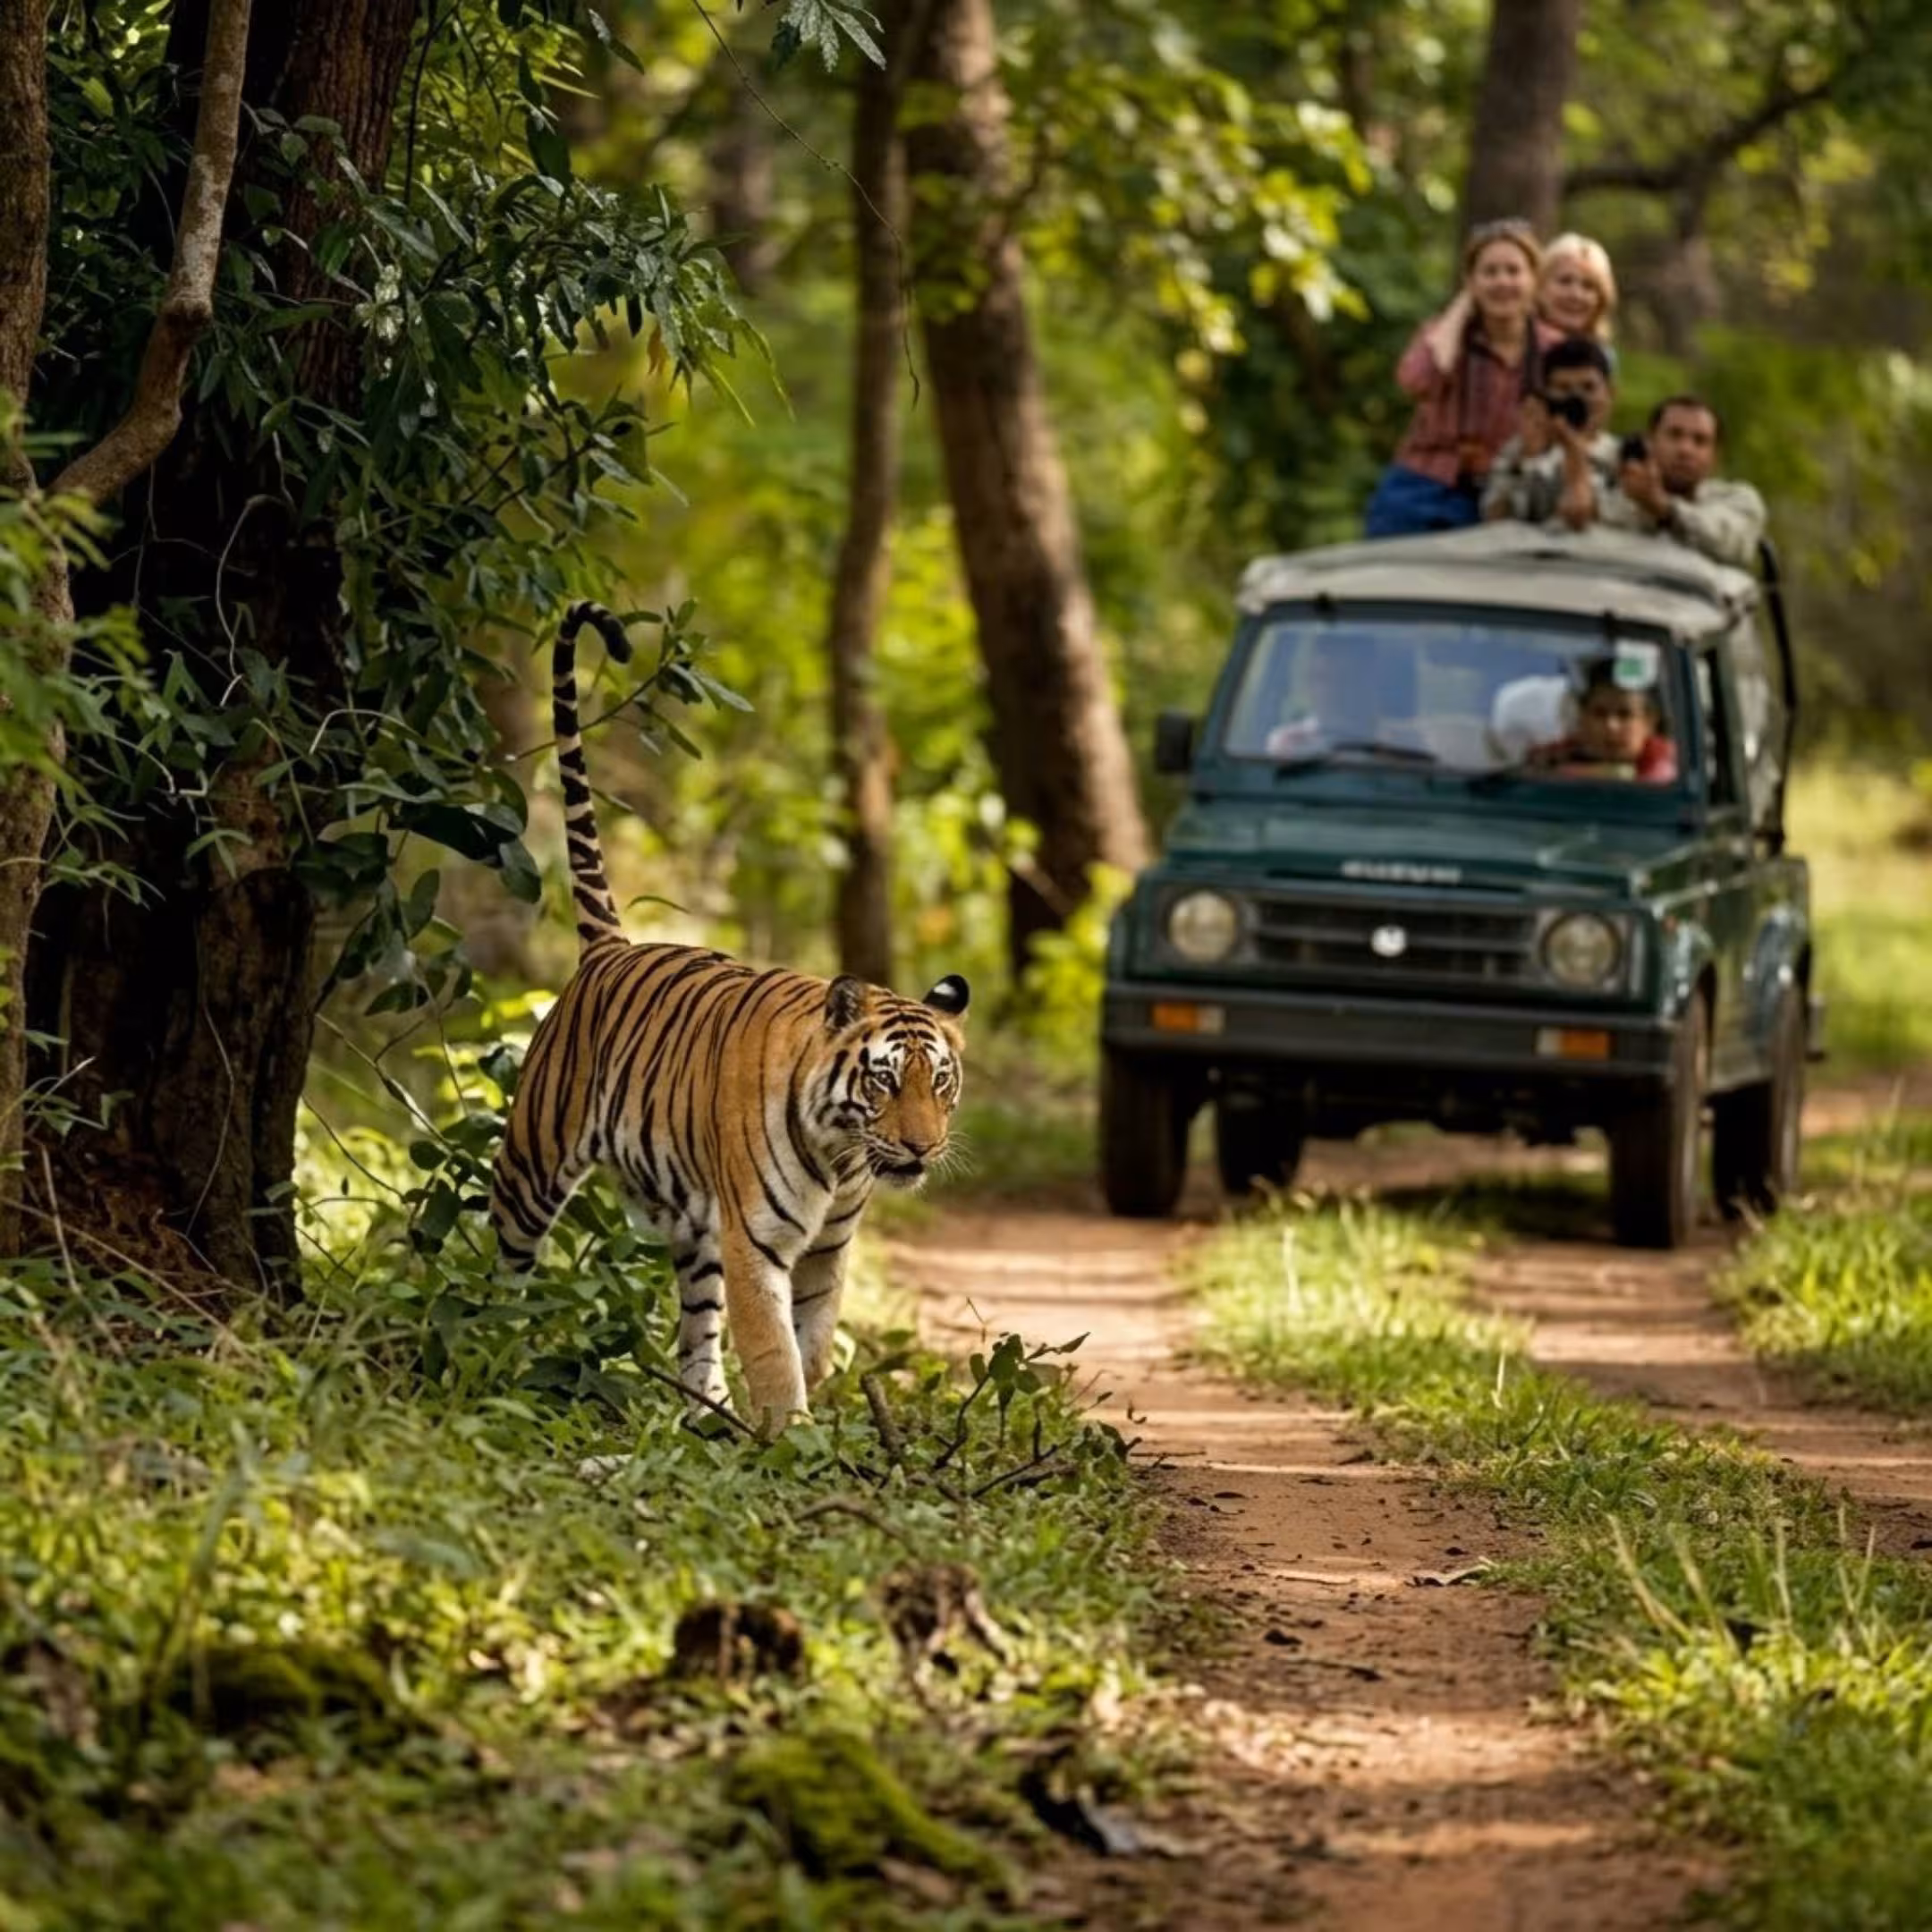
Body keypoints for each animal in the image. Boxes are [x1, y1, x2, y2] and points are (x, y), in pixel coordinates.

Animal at [489, 601, 969, 1430]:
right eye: (884, 1081)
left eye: (940, 1083)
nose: (920, 1148)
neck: (843, 1156)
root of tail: (610, 949)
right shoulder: (758, 1241)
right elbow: (775, 1354)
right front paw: (791, 1435)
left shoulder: (827, 1249)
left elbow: (813, 1342)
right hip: (535, 1161)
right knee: (499, 1260)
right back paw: (479, 1340)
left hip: (693, 1226)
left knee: (696, 1322)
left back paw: (706, 1412)